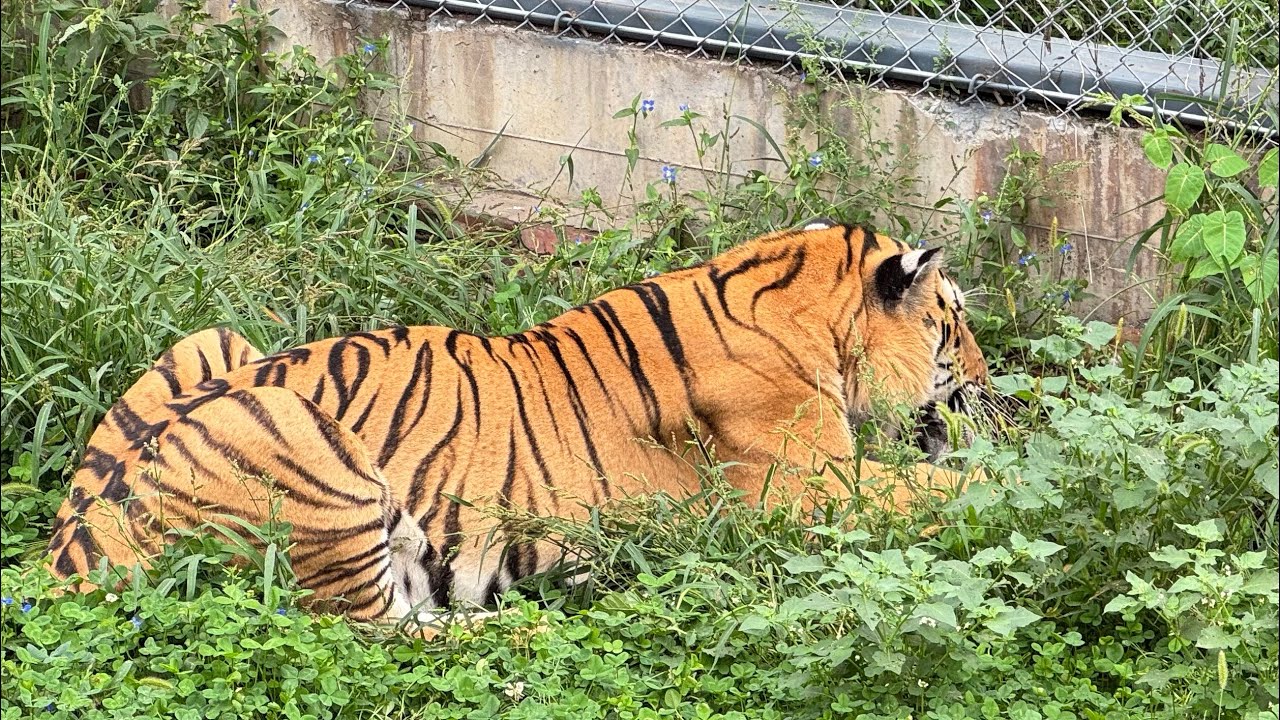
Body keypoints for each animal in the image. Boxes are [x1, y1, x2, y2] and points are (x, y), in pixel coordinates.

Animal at [45, 220, 988, 623]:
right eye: (956, 319)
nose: (988, 384)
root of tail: (76, 547)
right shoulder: (812, 491)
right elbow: (941, 488)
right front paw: (1006, 477)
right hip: (302, 440)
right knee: (376, 632)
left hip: (213, 339)